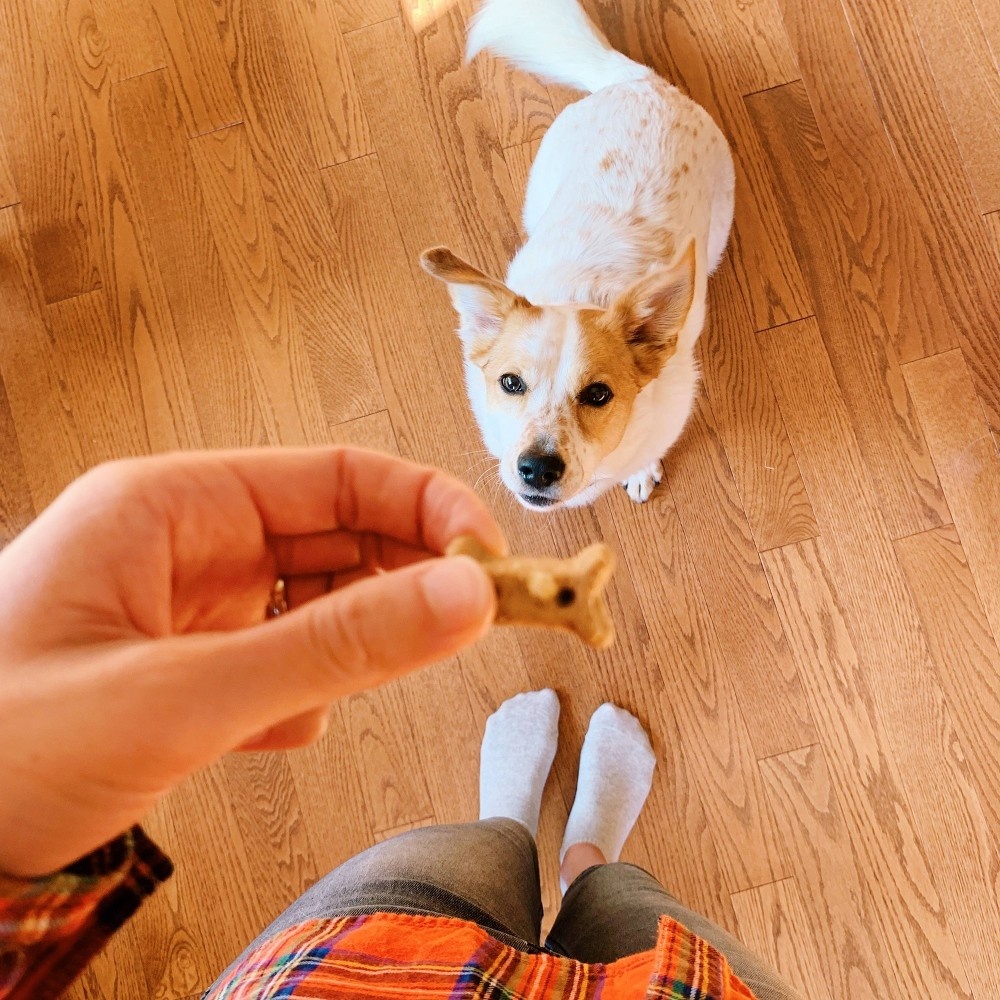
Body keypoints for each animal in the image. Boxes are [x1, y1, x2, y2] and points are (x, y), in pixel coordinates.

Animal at [420, 0, 736, 512]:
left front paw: (641, 470)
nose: (537, 468)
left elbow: (646, 453)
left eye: (598, 394)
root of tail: (638, 81)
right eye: (511, 383)